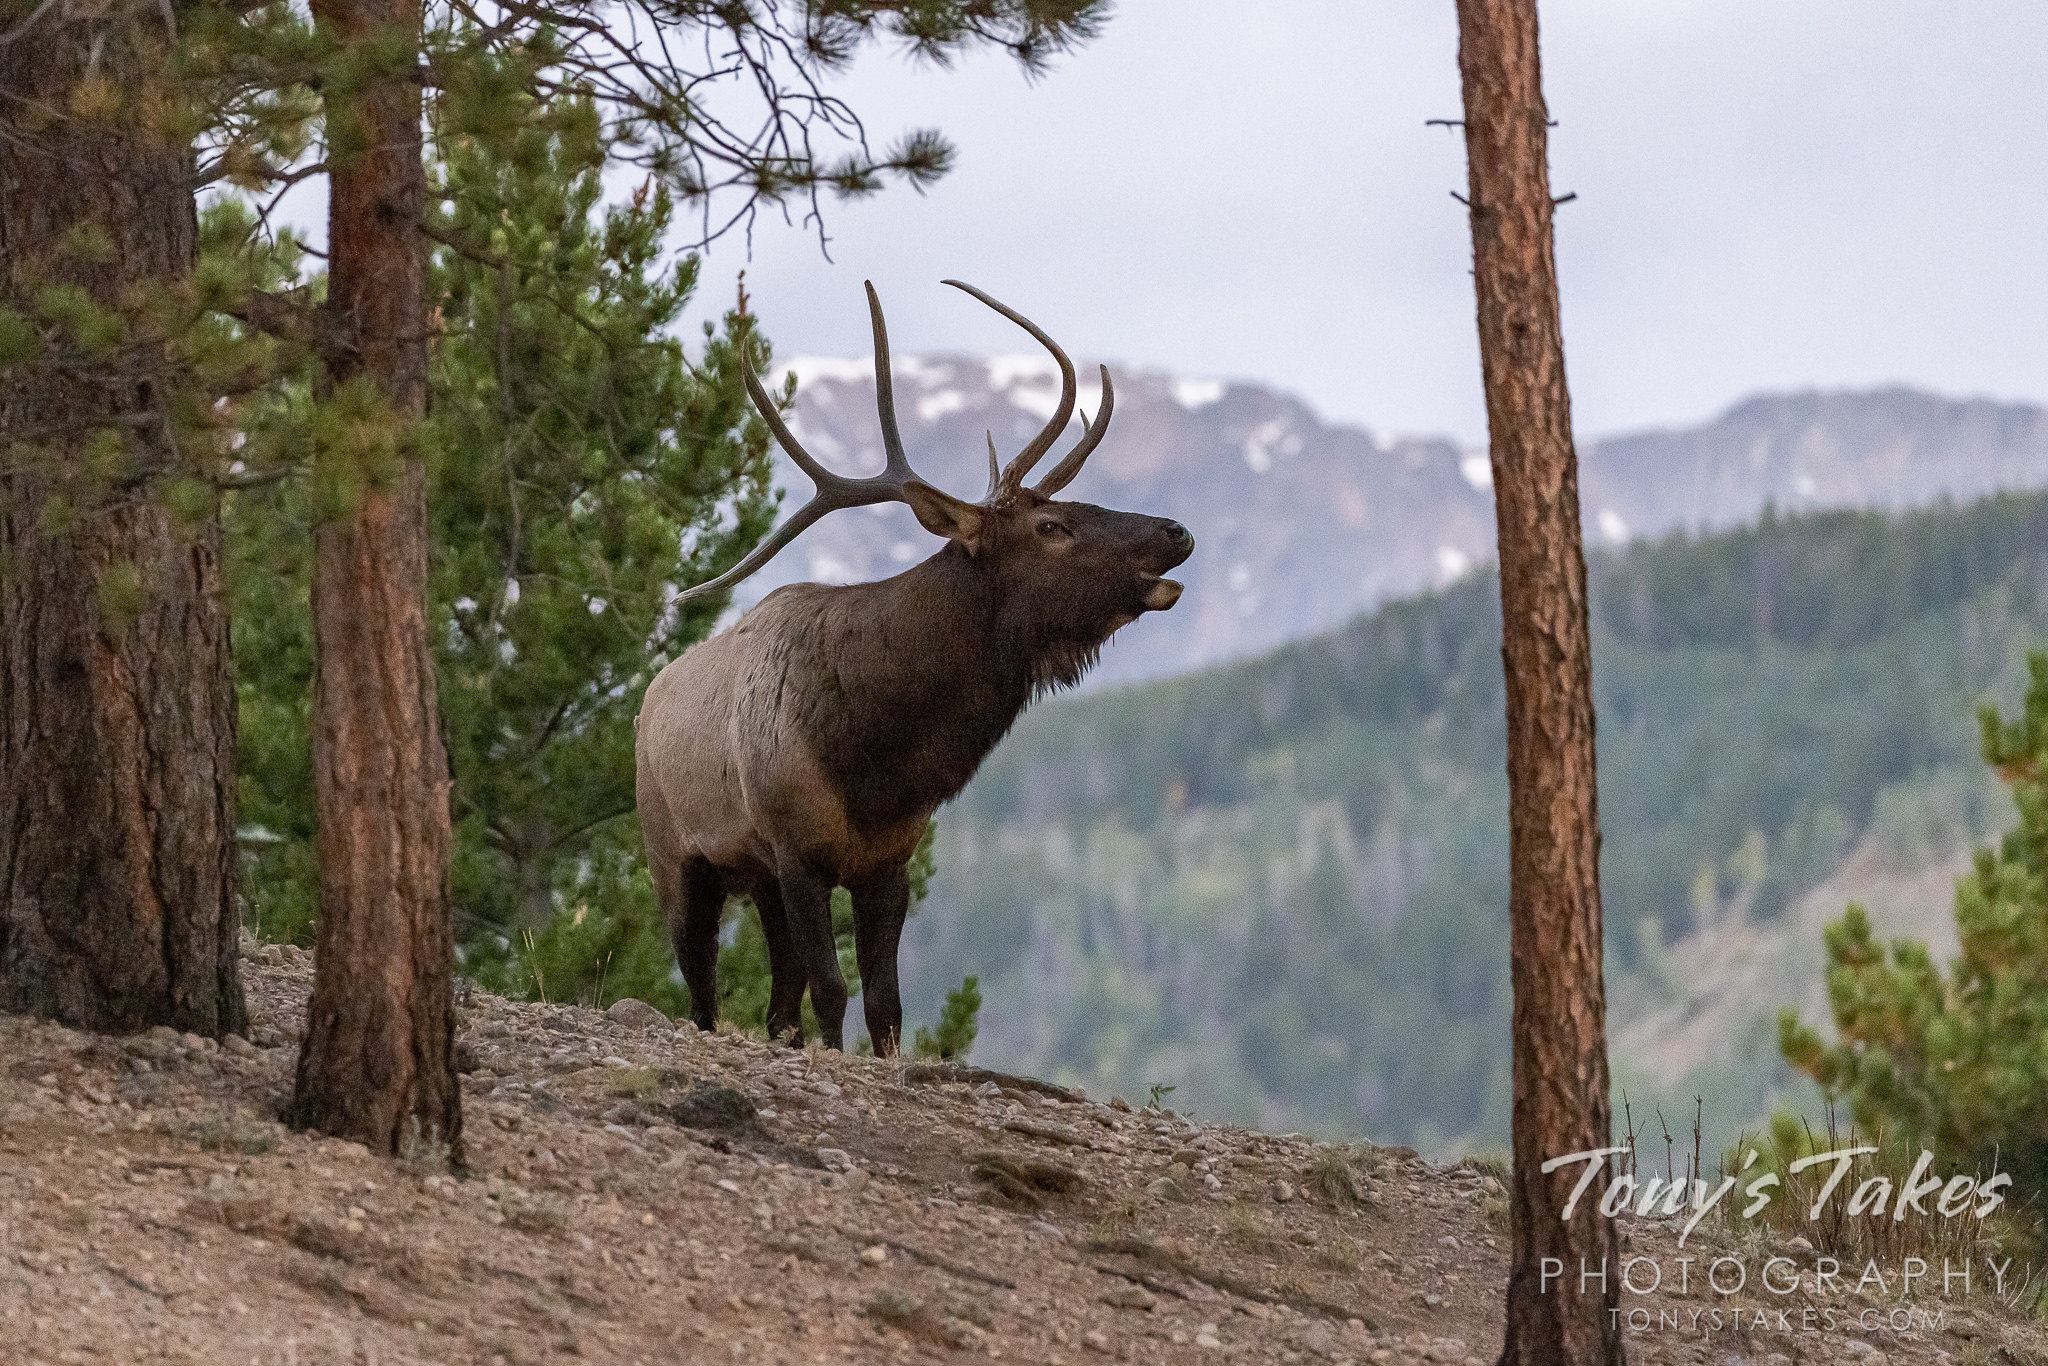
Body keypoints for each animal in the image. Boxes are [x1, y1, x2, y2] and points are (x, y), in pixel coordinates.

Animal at [630, 274, 1196, 1048]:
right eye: (1051, 525)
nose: (1176, 531)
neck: (877, 760)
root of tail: (645, 703)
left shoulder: (885, 861)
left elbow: (885, 1005)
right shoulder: (797, 853)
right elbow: (833, 992)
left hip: (758, 880)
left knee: (778, 1003)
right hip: (679, 859)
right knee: (703, 991)